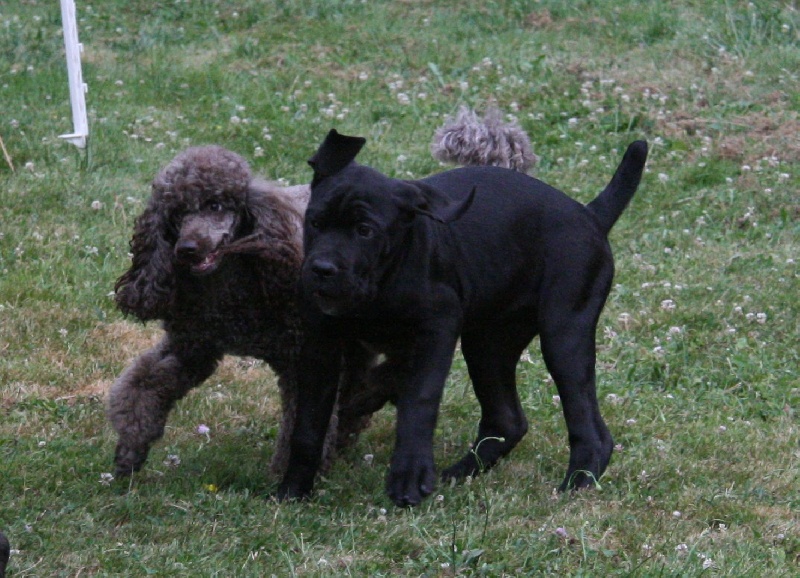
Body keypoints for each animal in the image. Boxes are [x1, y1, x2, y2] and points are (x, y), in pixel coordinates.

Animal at [278, 130, 648, 504]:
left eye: (365, 230)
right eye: (315, 222)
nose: (321, 269)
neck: (380, 283)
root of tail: (590, 215)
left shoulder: (438, 328)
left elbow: (419, 400)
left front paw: (409, 478)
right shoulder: (320, 346)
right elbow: (308, 423)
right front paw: (293, 488)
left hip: (564, 335)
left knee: (590, 429)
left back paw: (577, 483)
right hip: (488, 344)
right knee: (506, 420)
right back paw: (458, 473)